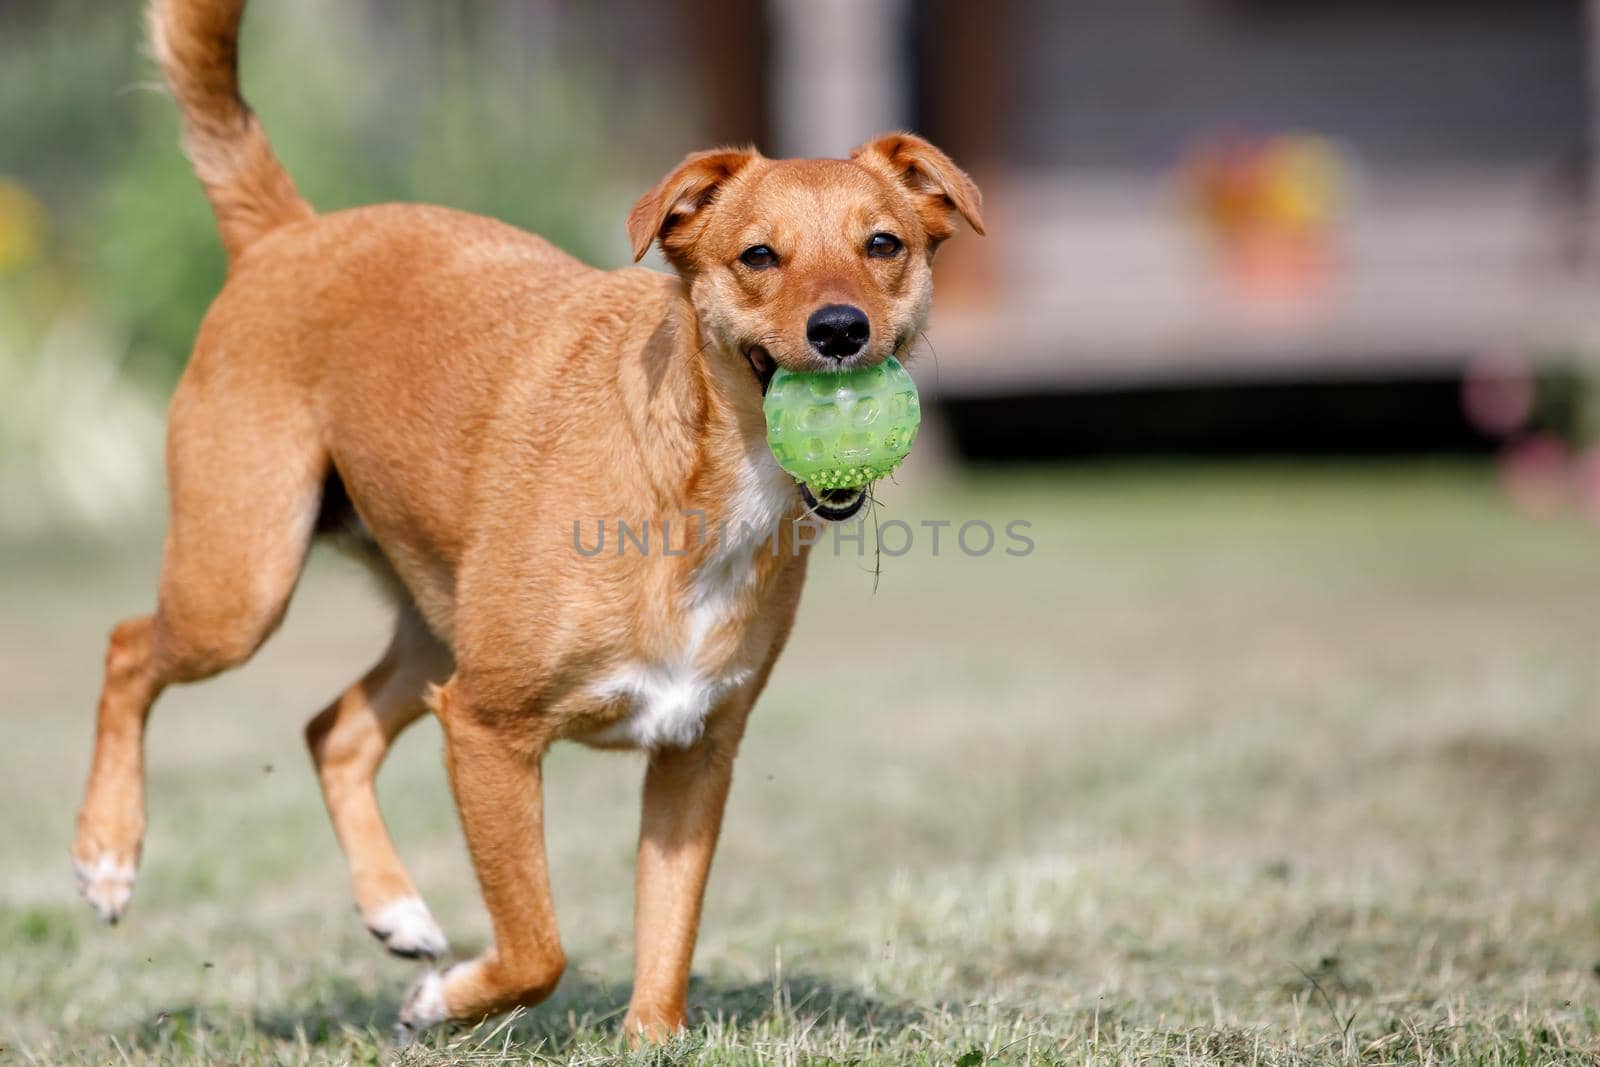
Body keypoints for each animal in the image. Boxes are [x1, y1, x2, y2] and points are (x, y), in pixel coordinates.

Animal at [75, 0, 979, 1043]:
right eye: (758, 256)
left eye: (884, 246)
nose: (840, 329)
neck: (696, 481)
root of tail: (288, 235)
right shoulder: (486, 730)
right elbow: (538, 946)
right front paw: (444, 1001)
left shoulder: (695, 755)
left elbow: (666, 937)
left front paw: (643, 1037)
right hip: (242, 588)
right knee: (129, 649)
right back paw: (108, 853)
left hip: (435, 624)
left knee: (331, 727)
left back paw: (394, 906)